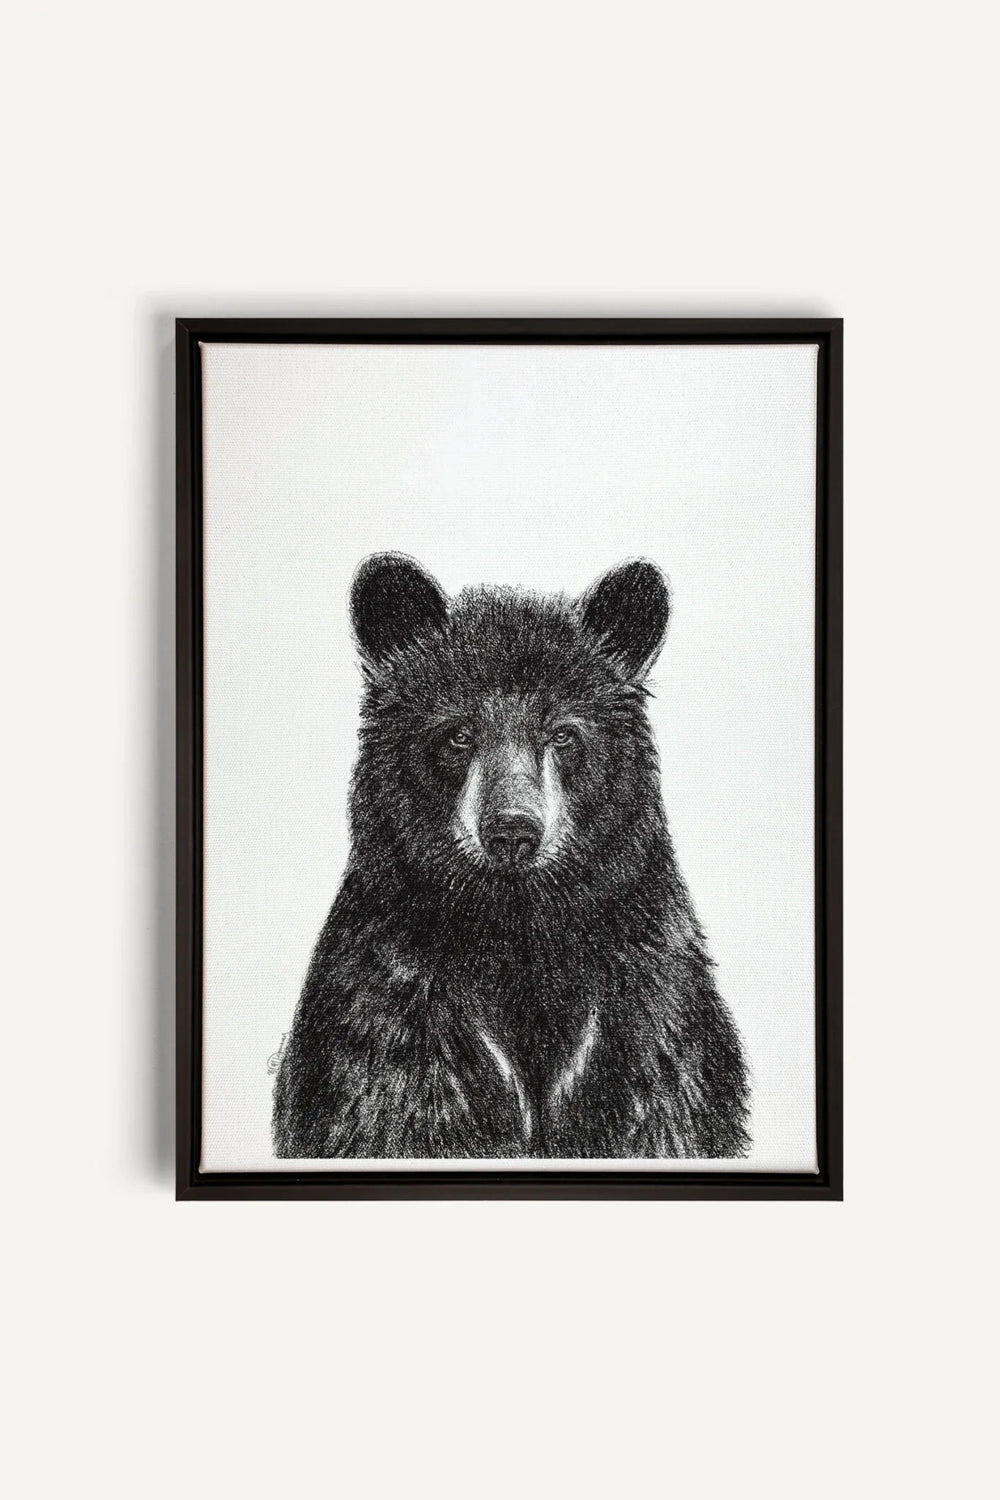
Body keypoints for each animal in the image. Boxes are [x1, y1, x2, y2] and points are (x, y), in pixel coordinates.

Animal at [272, 553, 749, 1159]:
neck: (517, 931)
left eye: (564, 734)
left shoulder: (646, 1017)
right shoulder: (392, 1015)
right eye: (458, 734)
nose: (512, 831)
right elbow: (390, 1106)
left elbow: (665, 1104)